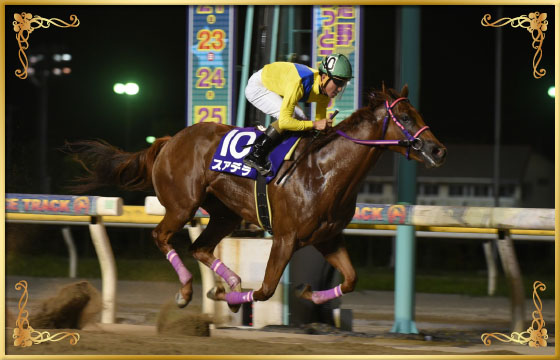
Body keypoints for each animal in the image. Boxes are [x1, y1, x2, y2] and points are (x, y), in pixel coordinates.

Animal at [66, 85, 446, 312]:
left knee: (200, 248)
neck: (323, 172)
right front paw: (229, 298)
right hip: (182, 205)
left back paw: (230, 282)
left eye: (419, 113)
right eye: (407, 116)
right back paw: (188, 291)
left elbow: (351, 280)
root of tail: (169, 140)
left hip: (225, 213)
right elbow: (264, 290)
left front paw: (309, 293)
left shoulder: (328, 237)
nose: (438, 150)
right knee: (162, 236)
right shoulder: (285, 238)